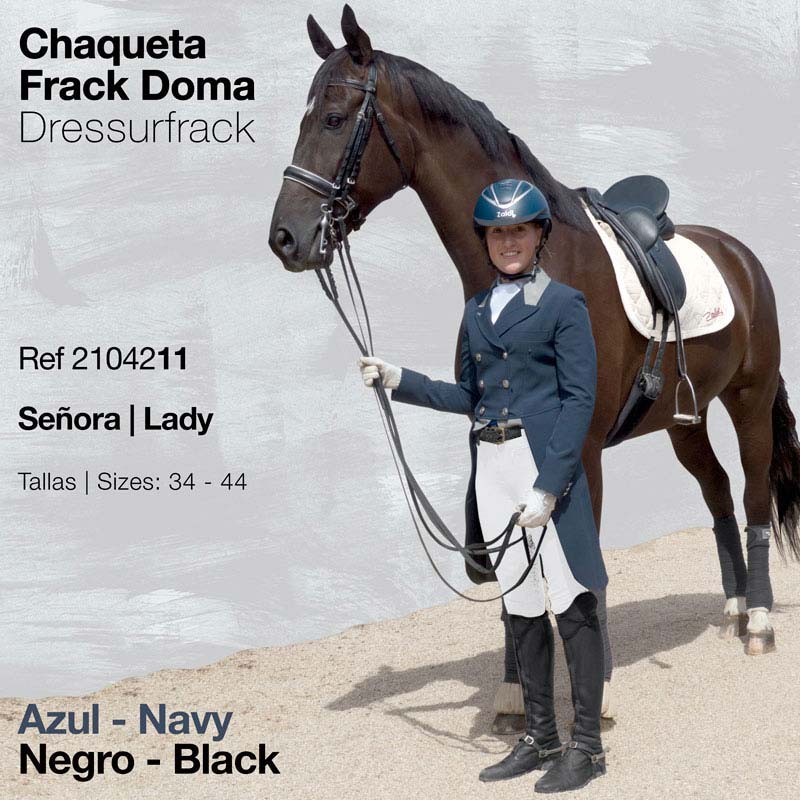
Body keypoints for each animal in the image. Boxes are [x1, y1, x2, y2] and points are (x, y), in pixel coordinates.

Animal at [269, 4, 800, 724]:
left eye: (331, 118)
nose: (286, 238)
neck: (530, 270)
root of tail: (740, 254)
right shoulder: (489, 437)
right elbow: (496, 560)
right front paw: (515, 691)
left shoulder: (581, 450)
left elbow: (581, 567)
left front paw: (592, 692)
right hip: (682, 420)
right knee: (716, 493)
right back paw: (734, 609)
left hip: (748, 400)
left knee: (749, 495)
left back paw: (761, 624)